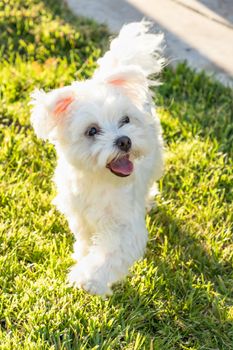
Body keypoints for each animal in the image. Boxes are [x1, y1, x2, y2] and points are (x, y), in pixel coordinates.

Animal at [31, 21, 165, 296]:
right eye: (92, 131)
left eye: (125, 120)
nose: (124, 141)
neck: (99, 180)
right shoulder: (79, 214)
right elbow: (85, 238)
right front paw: (82, 255)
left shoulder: (125, 226)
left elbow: (109, 254)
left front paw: (88, 278)